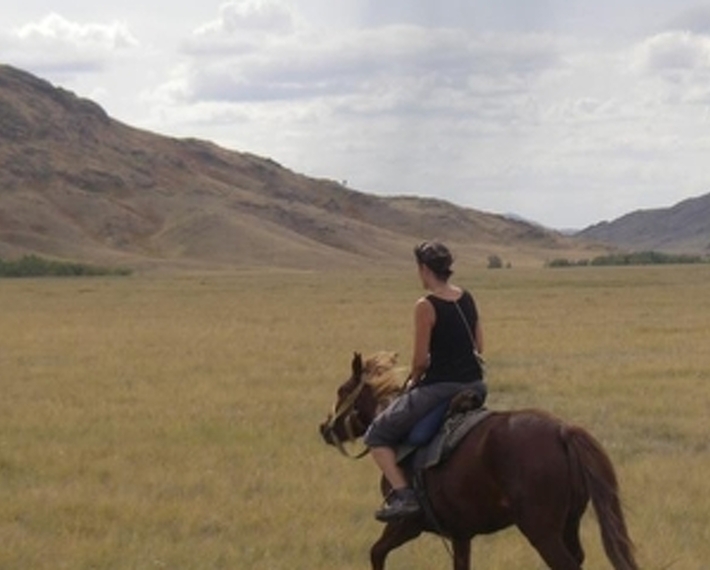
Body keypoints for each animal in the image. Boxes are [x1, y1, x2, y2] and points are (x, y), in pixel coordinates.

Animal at [319, 351, 639, 570]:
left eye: (342, 391)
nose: (324, 428)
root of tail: (563, 430)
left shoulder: (406, 524)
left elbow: (377, 552)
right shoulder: (461, 534)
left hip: (543, 532)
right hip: (569, 524)